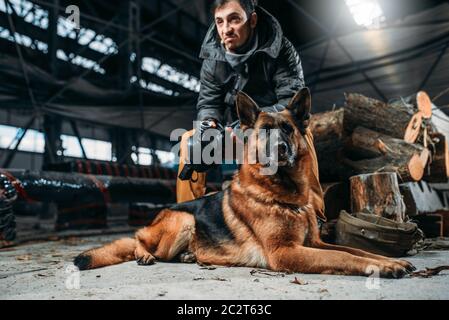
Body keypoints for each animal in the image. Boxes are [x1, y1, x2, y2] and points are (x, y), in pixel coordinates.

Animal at [73, 87, 412, 278]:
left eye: (287, 129)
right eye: (264, 131)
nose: (280, 149)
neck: (285, 197)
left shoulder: (314, 243)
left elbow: (355, 251)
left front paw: (388, 261)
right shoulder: (286, 252)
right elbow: (344, 256)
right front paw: (386, 267)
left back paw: (189, 255)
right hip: (183, 220)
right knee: (136, 241)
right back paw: (145, 254)